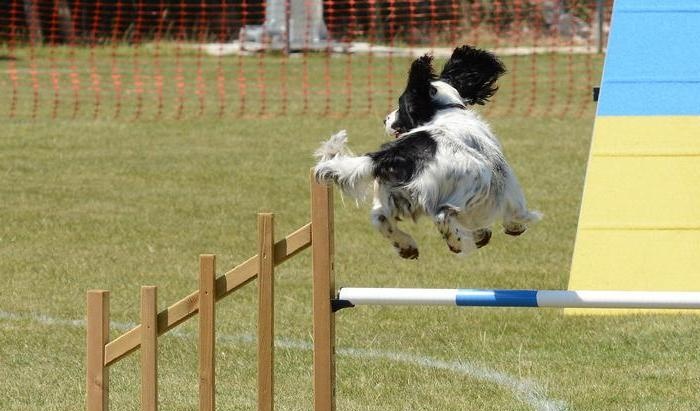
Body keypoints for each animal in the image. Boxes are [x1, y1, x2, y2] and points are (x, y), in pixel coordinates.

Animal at [314, 46, 540, 260]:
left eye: (400, 105)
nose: (385, 119)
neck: (445, 110)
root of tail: (396, 154)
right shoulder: (503, 177)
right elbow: (515, 208)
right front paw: (515, 225)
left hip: (390, 194)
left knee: (380, 219)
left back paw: (408, 246)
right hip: (474, 180)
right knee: (443, 215)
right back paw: (458, 242)